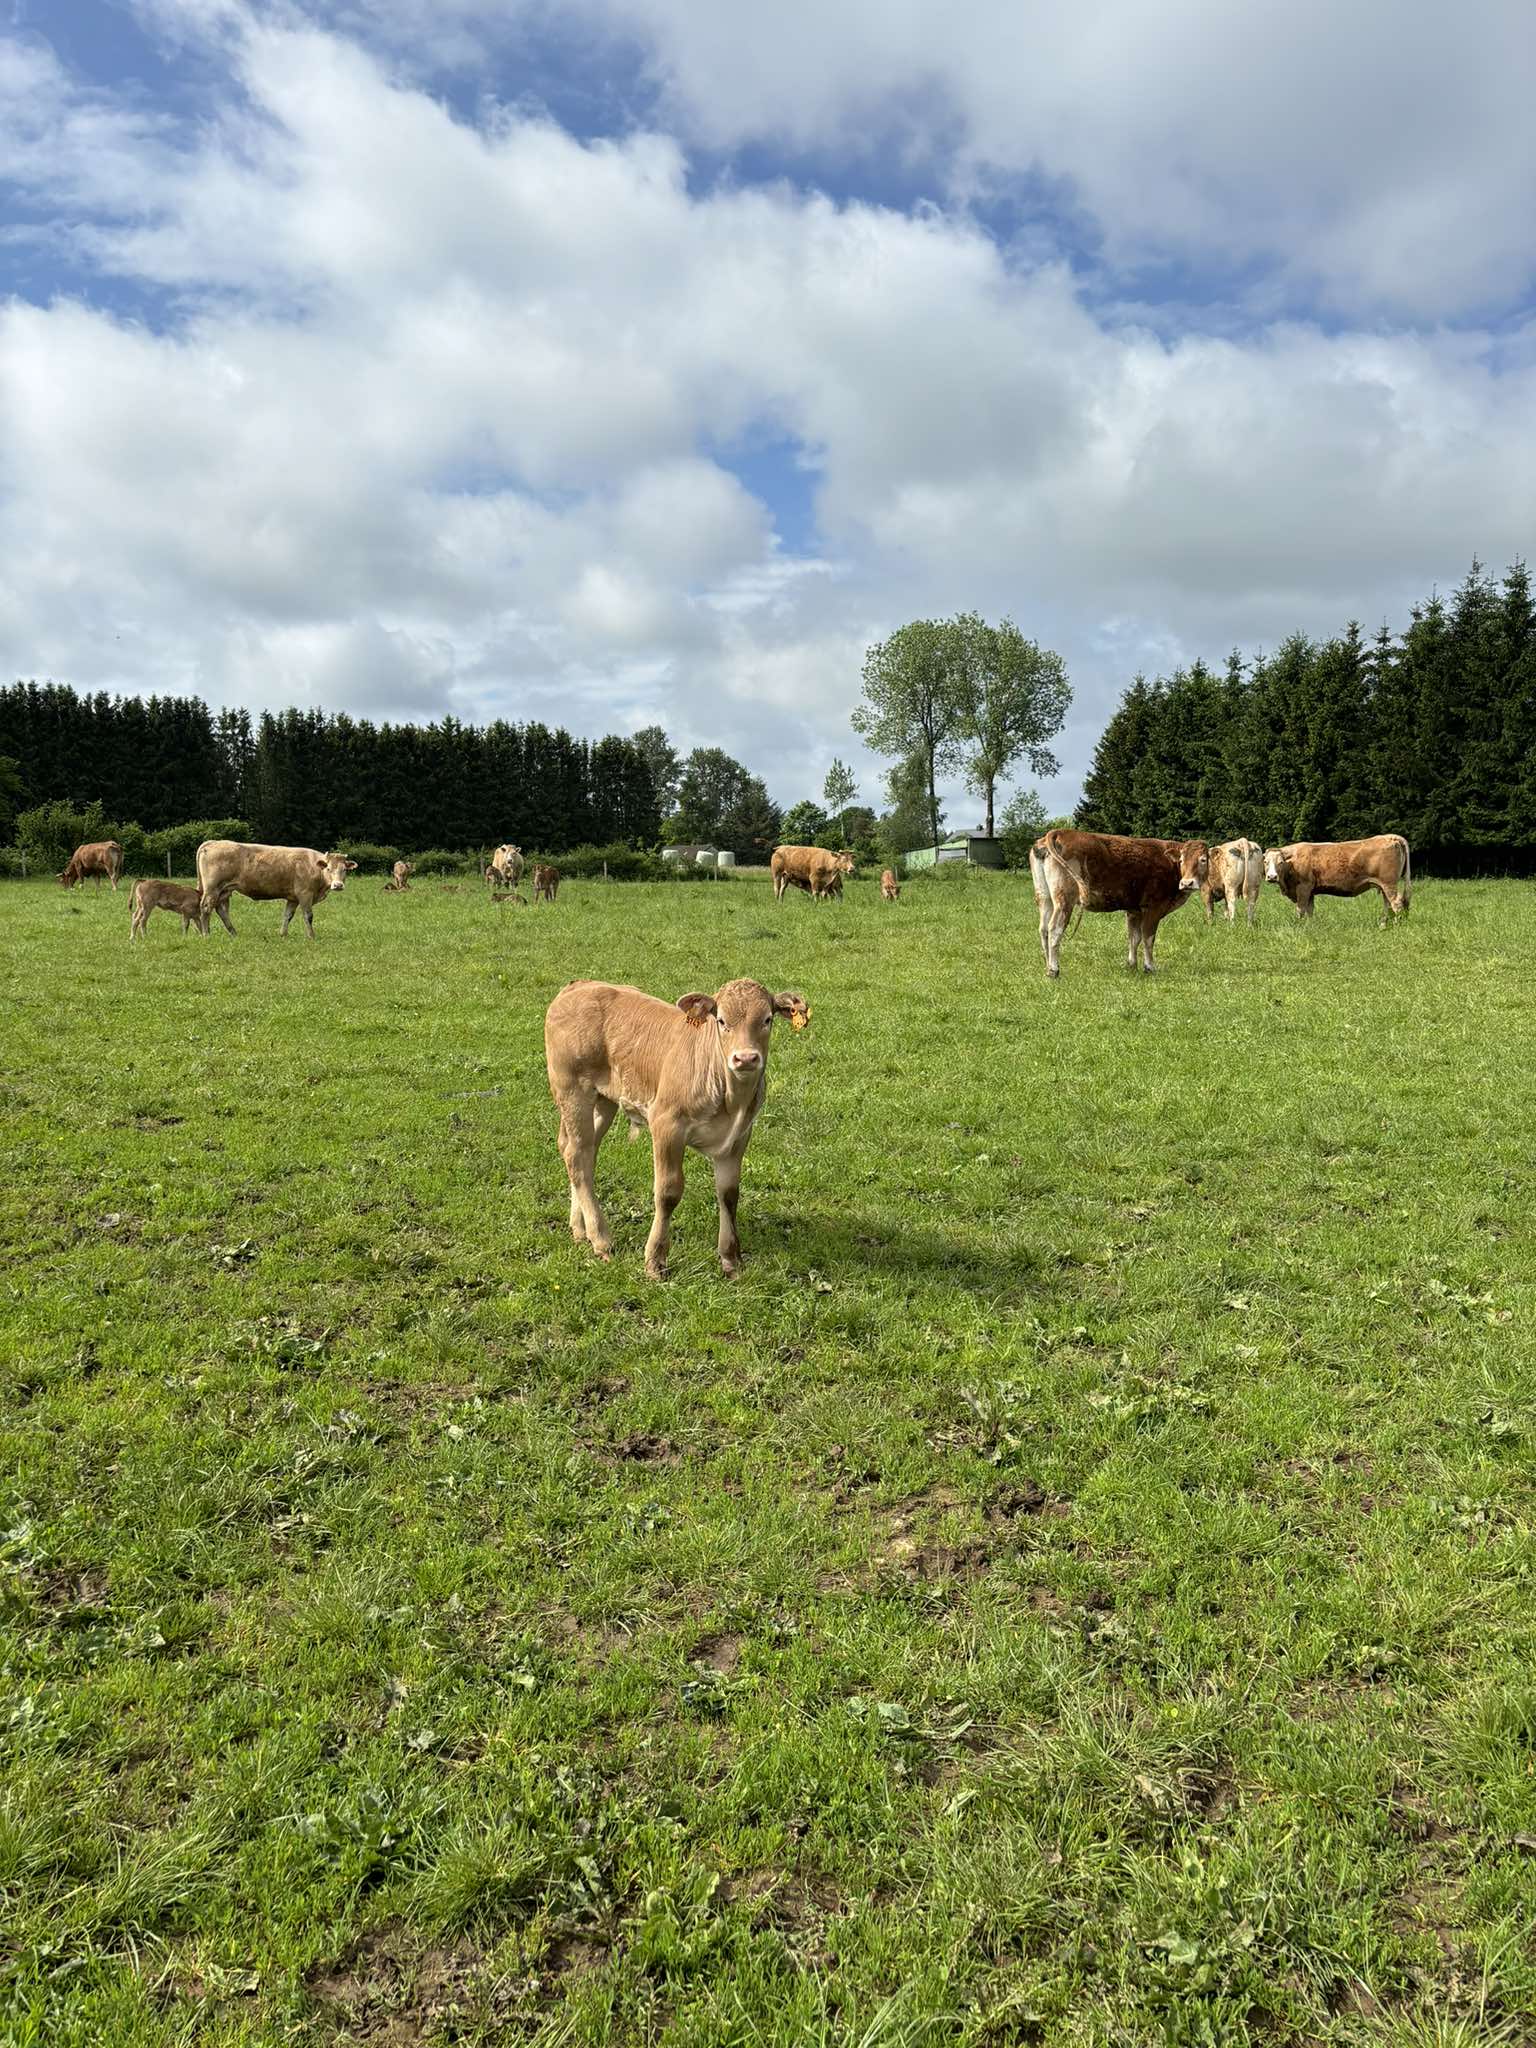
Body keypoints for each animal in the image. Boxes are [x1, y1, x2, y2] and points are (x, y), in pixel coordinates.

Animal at [196, 840, 357, 939]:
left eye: (344, 870)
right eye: (329, 868)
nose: (338, 885)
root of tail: (214, 842)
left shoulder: (293, 898)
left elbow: (287, 916)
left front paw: (283, 934)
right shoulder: (305, 894)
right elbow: (308, 916)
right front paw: (311, 936)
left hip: (224, 890)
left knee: (221, 911)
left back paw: (233, 933)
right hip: (212, 888)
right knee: (206, 908)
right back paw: (206, 934)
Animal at [545, 977, 810, 1280]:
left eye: (767, 1019)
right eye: (721, 1020)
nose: (745, 1058)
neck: (731, 1100)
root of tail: (580, 984)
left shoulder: (739, 1136)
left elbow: (729, 1194)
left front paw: (731, 1260)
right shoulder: (666, 1125)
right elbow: (667, 1192)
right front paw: (655, 1260)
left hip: (605, 1099)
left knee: (582, 1152)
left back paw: (581, 1230)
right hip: (572, 1090)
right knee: (577, 1156)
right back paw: (601, 1239)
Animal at [1030, 829, 1208, 978]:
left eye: (1203, 860)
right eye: (1182, 859)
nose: (1187, 883)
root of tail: (1059, 832)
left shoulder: (1134, 910)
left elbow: (1134, 938)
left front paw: (1132, 965)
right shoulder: (1154, 908)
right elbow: (1148, 938)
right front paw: (1149, 967)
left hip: (1044, 896)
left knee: (1043, 929)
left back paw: (1047, 966)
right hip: (1065, 899)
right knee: (1054, 929)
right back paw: (1054, 970)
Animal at [1264, 836, 1411, 922]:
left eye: (1280, 862)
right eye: (1265, 862)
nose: (1272, 877)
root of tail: (1390, 837)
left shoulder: (1303, 888)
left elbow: (1300, 910)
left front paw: (1299, 926)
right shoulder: (1310, 891)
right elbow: (1310, 910)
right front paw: (1309, 926)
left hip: (1389, 884)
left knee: (1396, 903)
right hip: (1384, 885)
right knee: (1388, 904)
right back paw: (1384, 925)